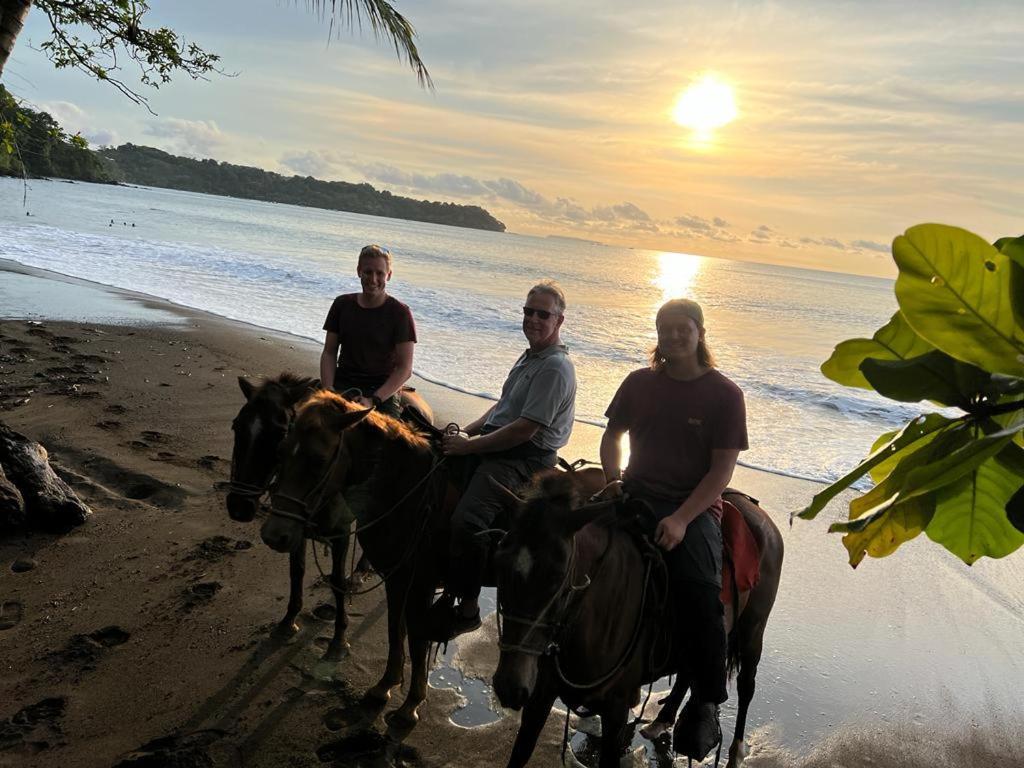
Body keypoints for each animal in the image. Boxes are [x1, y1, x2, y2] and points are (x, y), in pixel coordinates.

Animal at [491, 475, 778, 768]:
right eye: (499, 563)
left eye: (557, 575)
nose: (509, 686)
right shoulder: (541, 692)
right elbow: (521, 752)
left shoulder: (616, 708)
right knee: (687, 670)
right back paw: (661, 721)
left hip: (752, 631)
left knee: (745, 685)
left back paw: (735, 752)